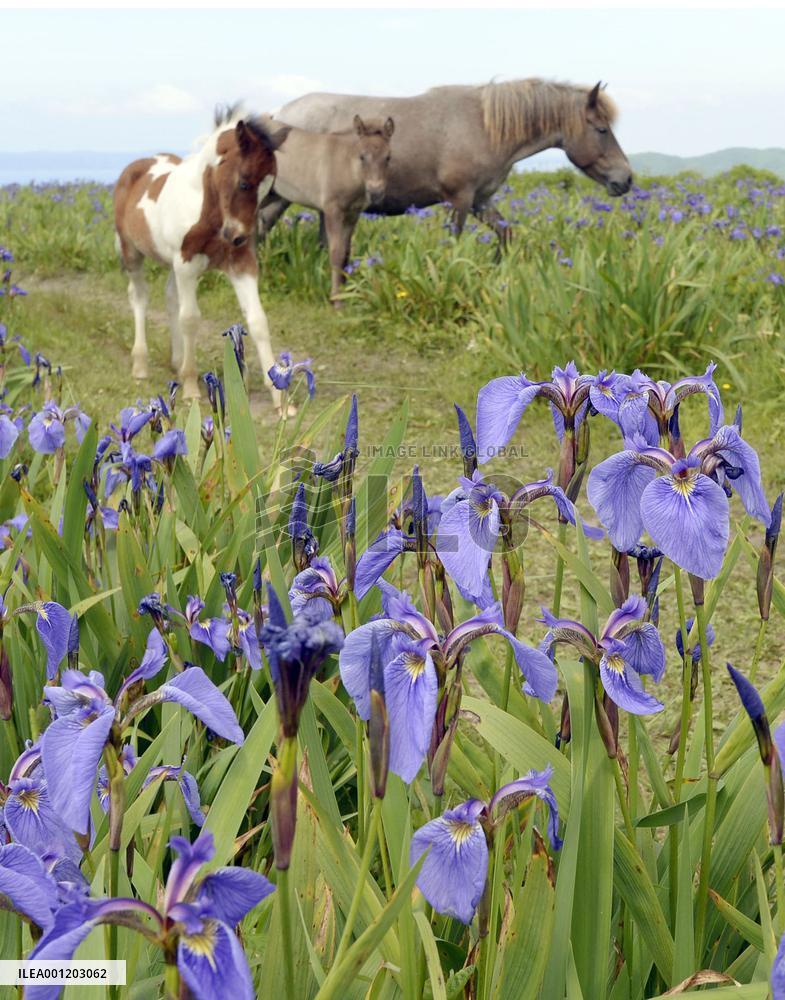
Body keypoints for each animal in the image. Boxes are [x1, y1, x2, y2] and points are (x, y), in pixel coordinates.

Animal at [113, 109, 289, 403]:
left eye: (268, 188)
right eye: (244, 182)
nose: (239, 237)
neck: (207, 208)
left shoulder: (240, 264)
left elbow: (257, 319)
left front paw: (280, 399)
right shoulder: (186, 264)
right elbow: (191, 319)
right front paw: (191, 387)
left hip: (171, 263)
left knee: (170, 297)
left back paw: (176, 360)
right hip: (132, 252)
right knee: (139, 297)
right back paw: (140, 366)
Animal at [258, 115, 394, 304]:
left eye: (388, 157)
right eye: (362, 157)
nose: (376, 192)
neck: (346, 166)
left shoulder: (352, 214)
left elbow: (346, 252)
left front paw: (346, 292)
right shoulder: (333, 211)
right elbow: (336, 253)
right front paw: (337, 299)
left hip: (269, 195)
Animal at [274, 79, 632, 248]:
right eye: (602, 129)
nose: (626, 179)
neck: (484, 126)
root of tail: (279, 114)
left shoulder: (480, 200)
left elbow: (506, 234)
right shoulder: (458, 200)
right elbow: (453, 243)